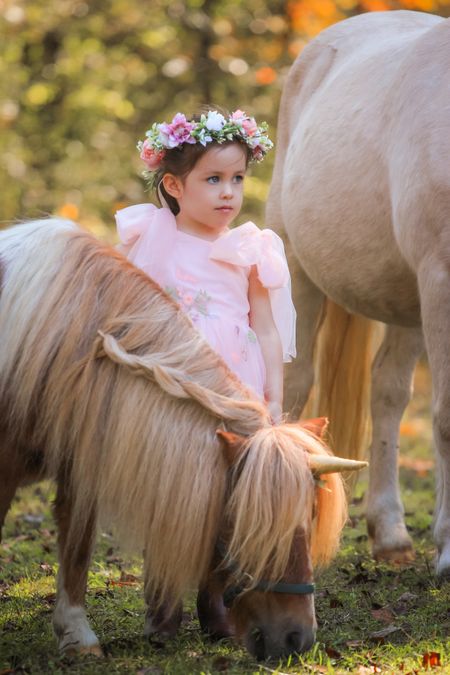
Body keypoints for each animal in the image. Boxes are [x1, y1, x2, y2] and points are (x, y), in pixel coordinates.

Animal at [0, 220, 366, 660]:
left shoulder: (82, 460)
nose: (299, 639)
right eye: (249, 525)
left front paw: (75, 634)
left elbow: (77, 542)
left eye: (311, 518)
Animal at [268, 10, 450, 580]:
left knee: (387, 392)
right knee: (295, 384)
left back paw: (390, 534)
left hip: (409, 303)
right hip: (297, 272)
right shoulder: (441, 279)